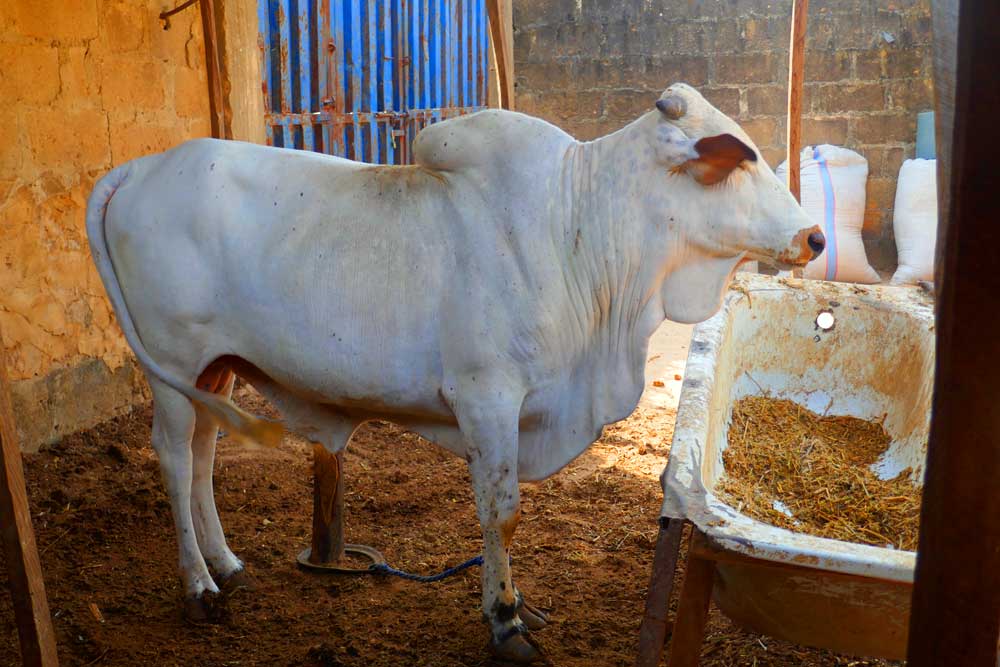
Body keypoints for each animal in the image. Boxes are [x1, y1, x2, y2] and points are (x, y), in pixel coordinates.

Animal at [86, 83, 823, 662]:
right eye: (737, 159)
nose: (814, 236)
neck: (580, 232)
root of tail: (142, 168)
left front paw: (518, 604)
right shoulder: (487, 398)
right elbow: (503, 513)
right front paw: (505, 620)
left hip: (216, 369)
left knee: (205, 453)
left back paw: (227, 564)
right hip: (173, 363)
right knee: (175, 457)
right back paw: (198, 586)